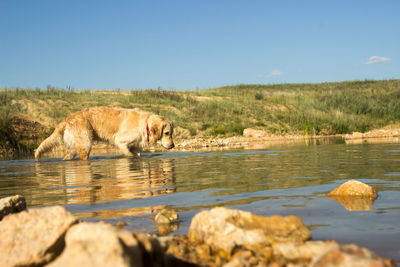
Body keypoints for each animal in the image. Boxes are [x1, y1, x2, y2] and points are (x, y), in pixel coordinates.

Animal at [35, 107, 175, 161]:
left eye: (171, 133)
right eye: (167, 133)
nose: (173, 145)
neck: (145, 124)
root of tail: (66, 120)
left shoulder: (136, 147)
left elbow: (136, 154)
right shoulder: (120, 141)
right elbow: (128, 155)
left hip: (74, 147)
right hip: (86, 144)